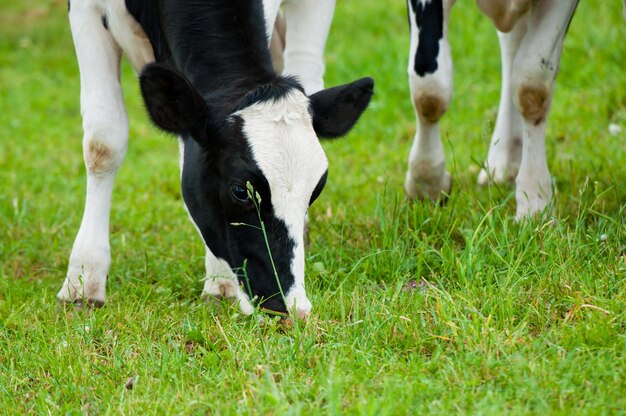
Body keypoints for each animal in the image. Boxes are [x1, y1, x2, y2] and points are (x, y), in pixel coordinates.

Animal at [57, 0, 370, 318]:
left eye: (317, 189)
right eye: (240, 191)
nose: (287, 308)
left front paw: (220, 282)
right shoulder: (84, 9)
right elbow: (103, 142)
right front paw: (84, 280)